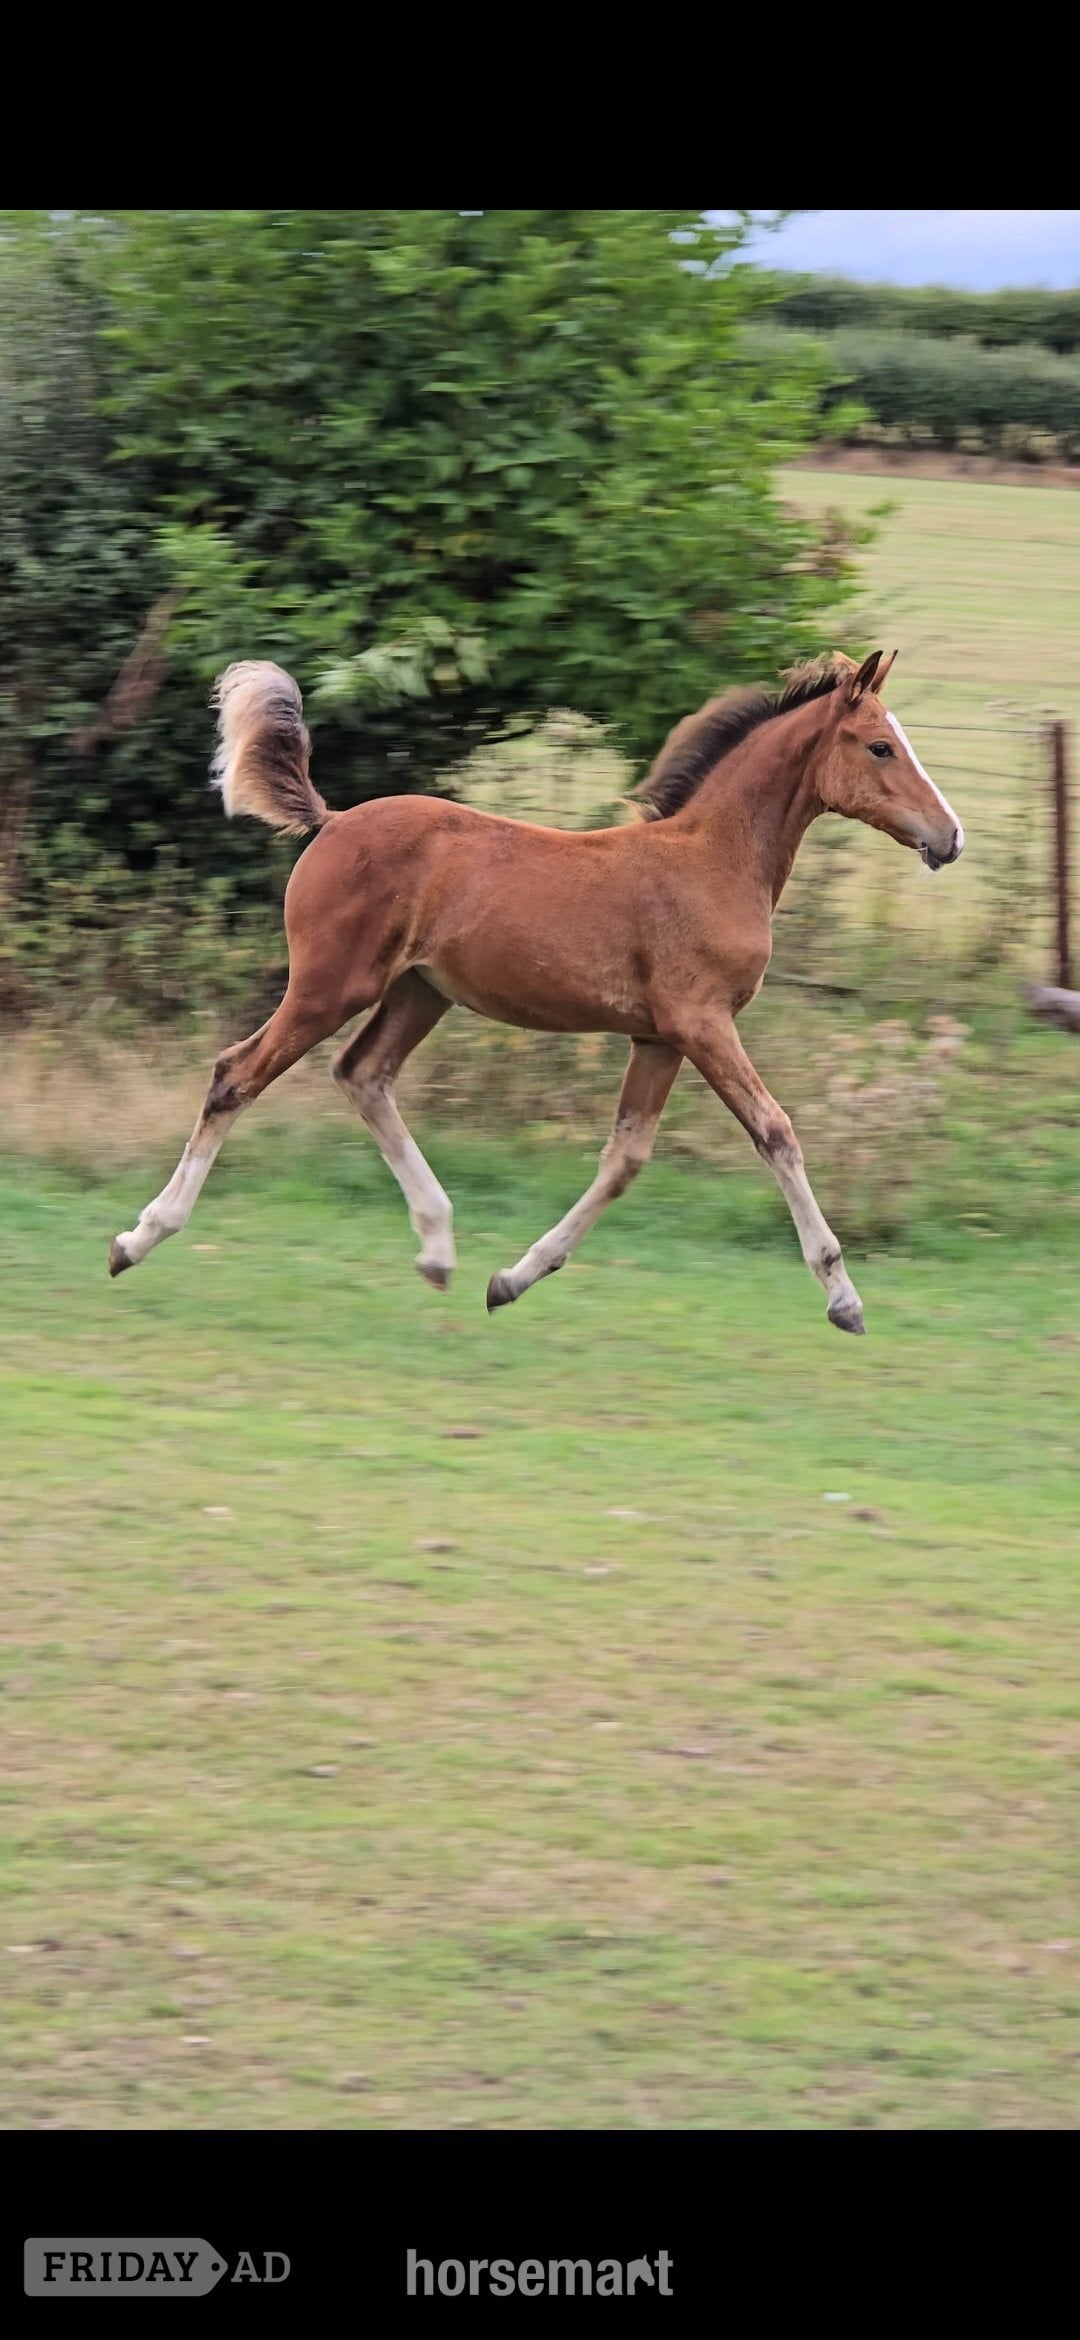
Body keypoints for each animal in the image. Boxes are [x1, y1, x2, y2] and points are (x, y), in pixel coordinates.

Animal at [108, 647, 964, 1337]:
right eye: (881, 746)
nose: (949, 837)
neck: (713, 860)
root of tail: (334, 819)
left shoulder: (658, 1037)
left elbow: (625, 1159)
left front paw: (510, 1281)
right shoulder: (702, 1023)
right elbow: (776, 1131)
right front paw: (844, 1299)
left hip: (419, 992)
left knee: (362, 1074)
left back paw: (439, 1249)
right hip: (331, 986)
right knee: (237, 1073)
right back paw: (137, 1239)